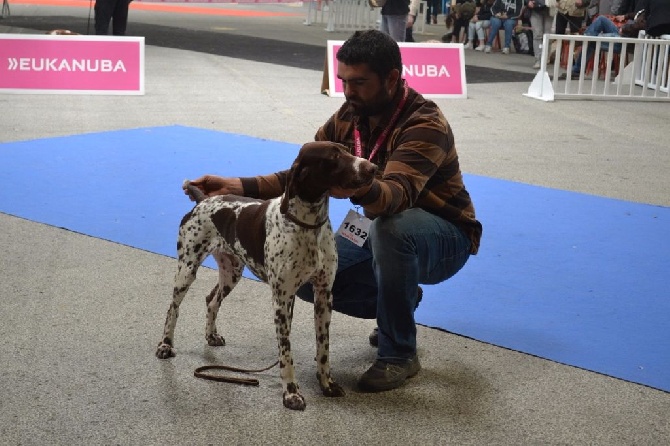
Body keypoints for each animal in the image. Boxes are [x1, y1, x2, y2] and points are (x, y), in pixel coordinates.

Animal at [156, 141, 378, 410]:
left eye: (346, 149)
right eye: (334, 156)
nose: (372, 168)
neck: (308, 225)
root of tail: (203, 200)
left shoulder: (324, 295)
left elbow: (323, 349)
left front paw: (327, 384)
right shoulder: (282, 300)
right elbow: (286, 353)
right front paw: (291, 393)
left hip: (232, 272)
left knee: (211, 300)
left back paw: (211, 335)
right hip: (187, 269)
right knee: (173, 308)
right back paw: (165, 345)